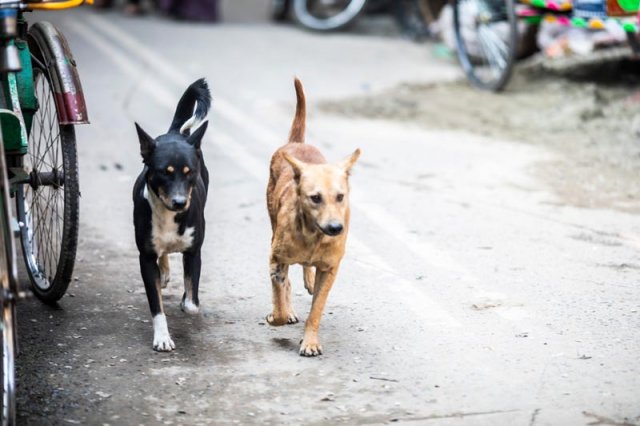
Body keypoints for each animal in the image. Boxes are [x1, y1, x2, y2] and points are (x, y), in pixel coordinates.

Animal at [132, 78, 212, 352]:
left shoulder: (194, 251)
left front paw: (186, 300)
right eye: (163, 172)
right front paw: (162, 337)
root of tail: (176, 132)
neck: (169, 215)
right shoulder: (145, 258)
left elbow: (191, 303)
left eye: (189, 172)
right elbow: (156, 305)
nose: (179, 202)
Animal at [264, 77, 360, 356]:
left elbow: (317, 309)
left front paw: (310, 341)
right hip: (272, 223)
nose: (336, 228)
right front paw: (278, 315)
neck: (313, 235)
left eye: (340, 196)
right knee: (285, 283)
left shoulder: (329, 269)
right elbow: (280, 296)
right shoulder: (276, 259)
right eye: (315, 198)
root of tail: (297, 143)